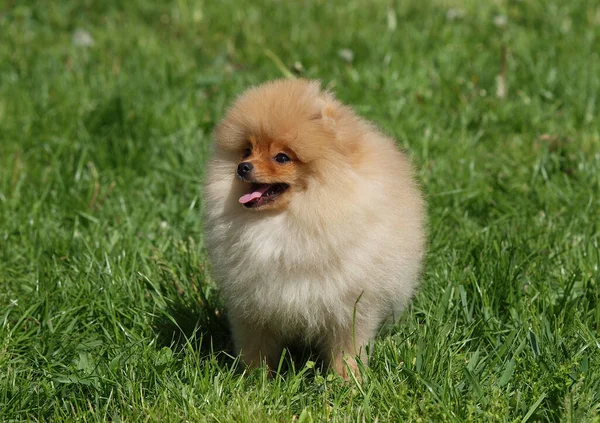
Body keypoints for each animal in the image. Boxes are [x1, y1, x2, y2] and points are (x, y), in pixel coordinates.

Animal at [204, 79, 424, 380]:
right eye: (247, 150)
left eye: (282, 157)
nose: (242, 167)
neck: (288, 222)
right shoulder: (253, 305)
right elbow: (256, 345)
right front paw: (254, 378)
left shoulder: (349, 305)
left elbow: (347, 349)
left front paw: (347, 381)